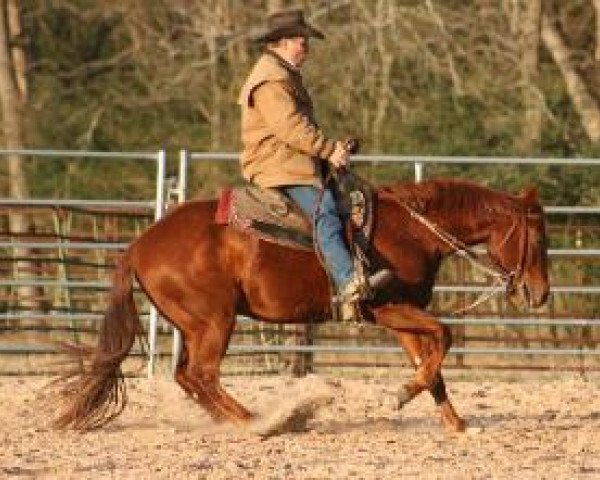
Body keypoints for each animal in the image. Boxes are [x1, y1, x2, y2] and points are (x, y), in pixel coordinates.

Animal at [51, 179, 548, 432]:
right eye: (538, 237)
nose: (540, 293)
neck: (411, 230)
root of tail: (140, 245)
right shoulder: (386, 307)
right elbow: (443, 336)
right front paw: (405, 393)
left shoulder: (402, 316)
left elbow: (434, 364)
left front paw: (455, 422)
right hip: (215, 321)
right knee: (203, 375)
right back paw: (260, 421)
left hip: (193, 325)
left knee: (187, 377)